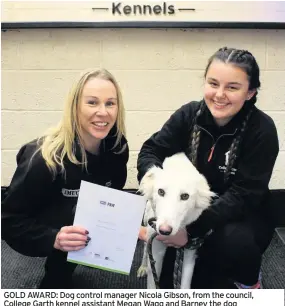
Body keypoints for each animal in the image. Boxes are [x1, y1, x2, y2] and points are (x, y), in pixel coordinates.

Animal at [136, 153, 214, 290]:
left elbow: (185, 285)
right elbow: (153, 283)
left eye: (185, 196)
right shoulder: (155, 249)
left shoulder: (189, 252)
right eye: (161, 191)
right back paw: (143, 267)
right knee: (145, 248)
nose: (164, 231)